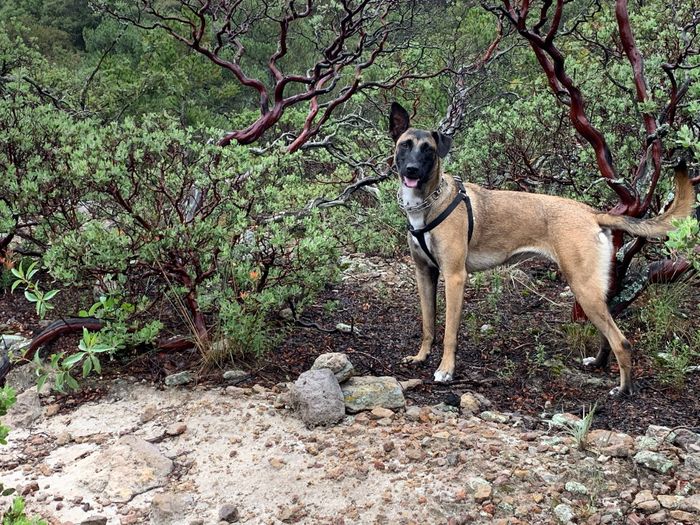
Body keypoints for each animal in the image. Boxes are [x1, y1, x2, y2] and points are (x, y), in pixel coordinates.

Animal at [392, 101, 696, 392]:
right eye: (405, 145)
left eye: (429, 150)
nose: (411, 170)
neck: (429, 202)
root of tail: (592, 213)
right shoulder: (425, 274)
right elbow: (428, 324)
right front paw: (420, 357)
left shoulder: (455, 277)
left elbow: (449, 333)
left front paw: (445, 370)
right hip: (594, 292)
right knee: (609, 333)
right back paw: (598, 364)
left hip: (583, 288)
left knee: (621, 340)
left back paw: (623, 390)